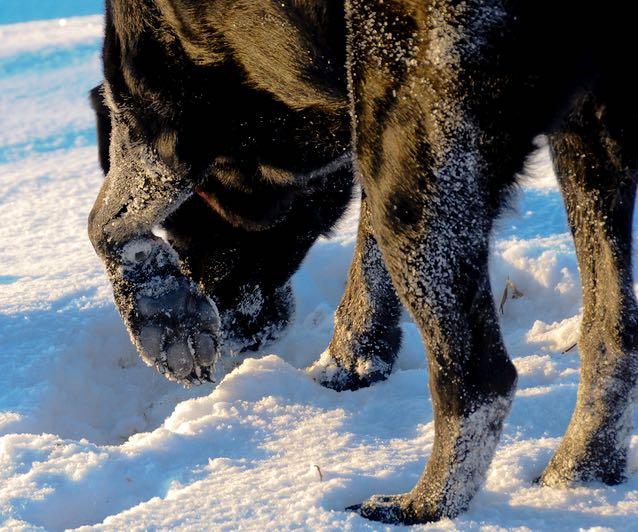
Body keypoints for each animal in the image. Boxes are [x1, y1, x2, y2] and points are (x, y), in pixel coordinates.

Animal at [90, 0, 638, 524]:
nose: (235, 327)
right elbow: (367, 267)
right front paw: (350, 363)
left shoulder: (159, 114)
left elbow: (106, 224)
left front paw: (168, 320)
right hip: (578, 141)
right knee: (613, 334)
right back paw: (578, 476)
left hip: (416, 142)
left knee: (481, 381)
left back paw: (423, 507)